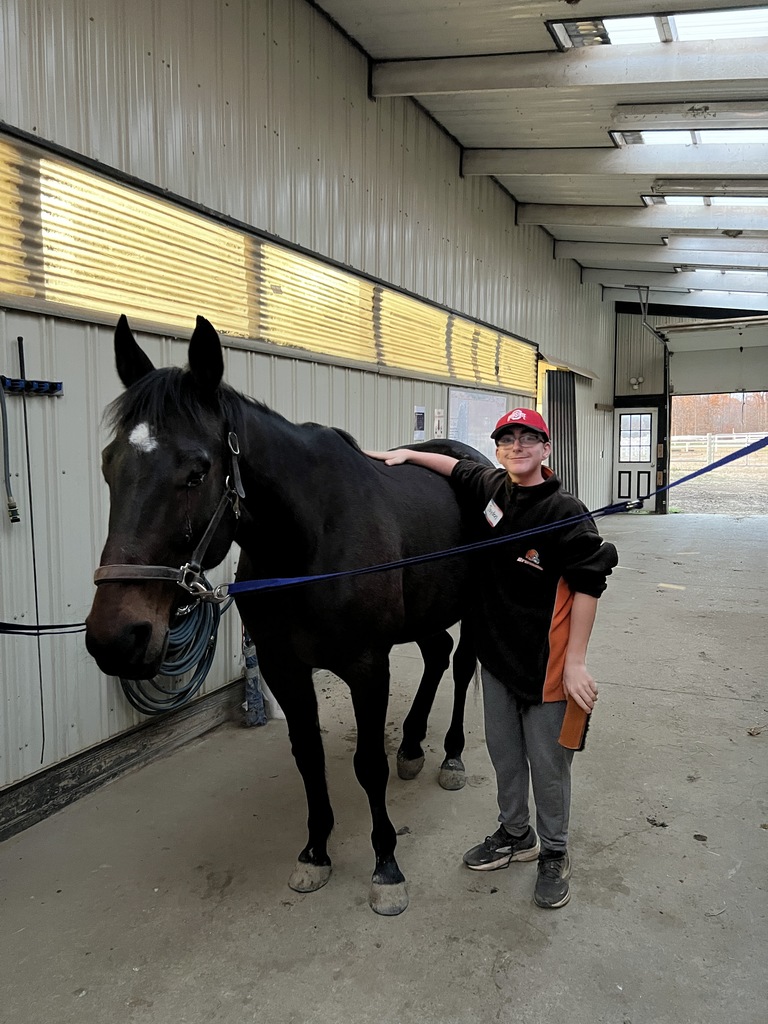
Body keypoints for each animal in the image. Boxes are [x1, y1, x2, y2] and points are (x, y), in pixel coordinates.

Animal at [85, 315, 491, 916]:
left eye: (196, 472)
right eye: (109, 465)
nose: (116, 637)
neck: (310, 543)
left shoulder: (367, 666)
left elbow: (367, 763)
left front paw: (386, 866)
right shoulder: (284, 667)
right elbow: (309, 757)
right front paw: (315, 852)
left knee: (461, 668)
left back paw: (451, 758)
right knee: (438, 654)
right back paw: (414, 746)